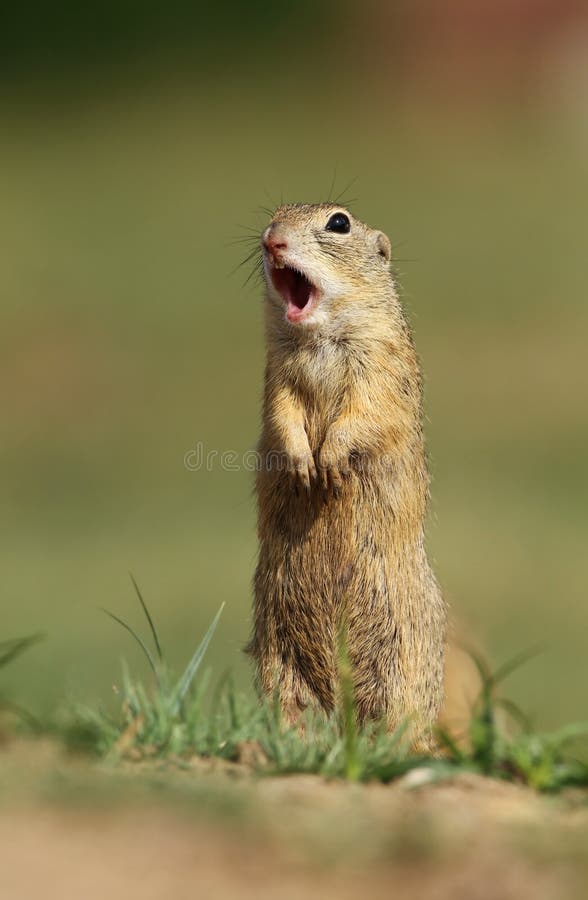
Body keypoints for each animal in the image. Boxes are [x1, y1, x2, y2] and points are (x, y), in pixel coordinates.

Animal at [247, 206, 446, 744]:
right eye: (272, 216)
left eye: (339, 223)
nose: (272, 239)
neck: (316, 338)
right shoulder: (276, 373)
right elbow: (282, 412)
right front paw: (301, 463)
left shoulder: (381, 363)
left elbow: (366, 410)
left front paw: (331, 460)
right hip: (276, 655)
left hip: (401, 663)